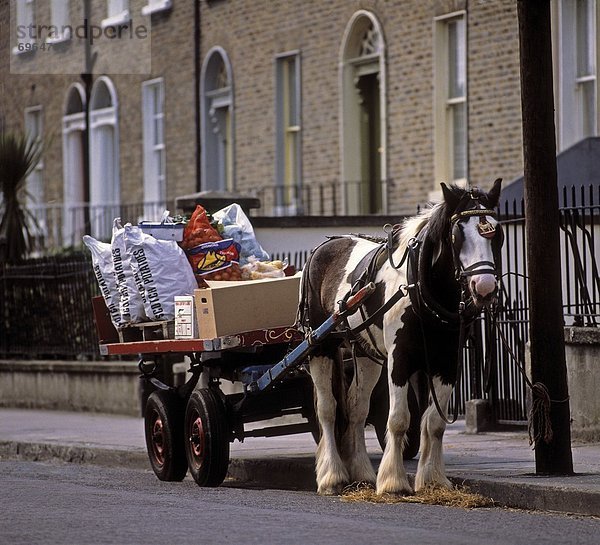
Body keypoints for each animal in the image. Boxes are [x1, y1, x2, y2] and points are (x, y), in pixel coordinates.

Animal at [300, 181, 502, 496]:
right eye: (457, 235)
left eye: (496, 233)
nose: (484, 287)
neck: (420, 285)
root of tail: (324, 246)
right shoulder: (400, 358)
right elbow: (398, 420)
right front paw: (393, 482)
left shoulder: (447, 361)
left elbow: (434, 423)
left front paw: (433, 480)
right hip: (320, 347)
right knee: (328, 409)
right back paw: (332, 476)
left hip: (366, 353)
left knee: (357, 409)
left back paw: (361, 473)